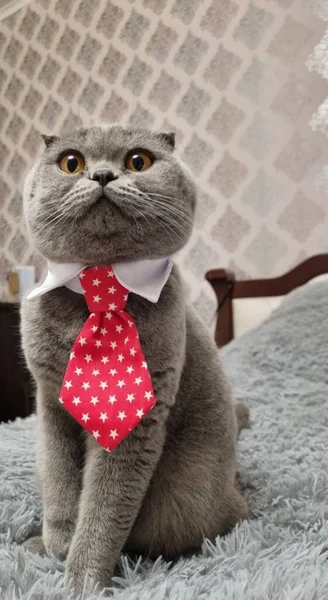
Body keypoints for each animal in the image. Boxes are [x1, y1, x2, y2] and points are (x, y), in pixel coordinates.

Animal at [21, 124, 249, 592]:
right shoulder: (50, 402)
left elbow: (104, 509)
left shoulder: (134, 422)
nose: (103, 175)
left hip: (189, 493)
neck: (98, 287)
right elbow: (59, 478)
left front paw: (82, 583)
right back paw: (36, 543)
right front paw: (58, 544)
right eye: (71, 163)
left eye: (138, 161)